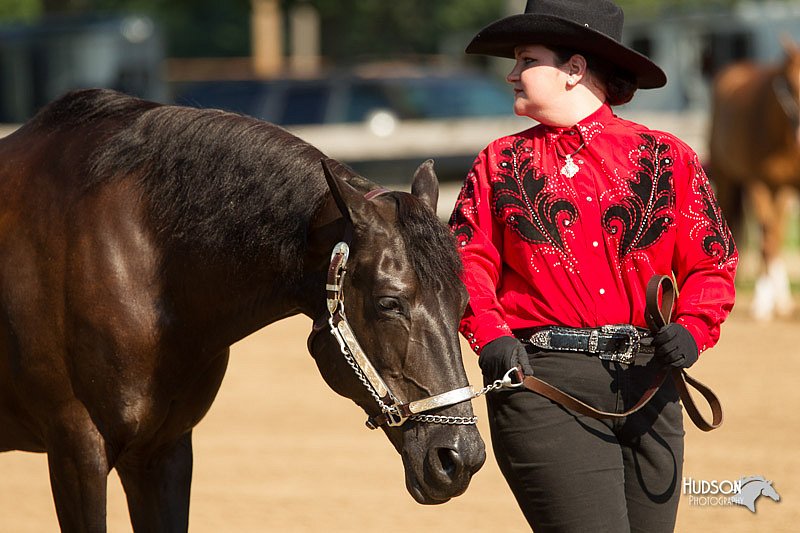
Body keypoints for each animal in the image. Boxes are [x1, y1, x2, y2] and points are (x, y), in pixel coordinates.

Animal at [708, 37, 800, 320]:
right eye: (789, 85)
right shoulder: (760, 184)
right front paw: (762, 302)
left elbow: (775, 236)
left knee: (776, 233)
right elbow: (767, 240)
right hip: (729, 179)